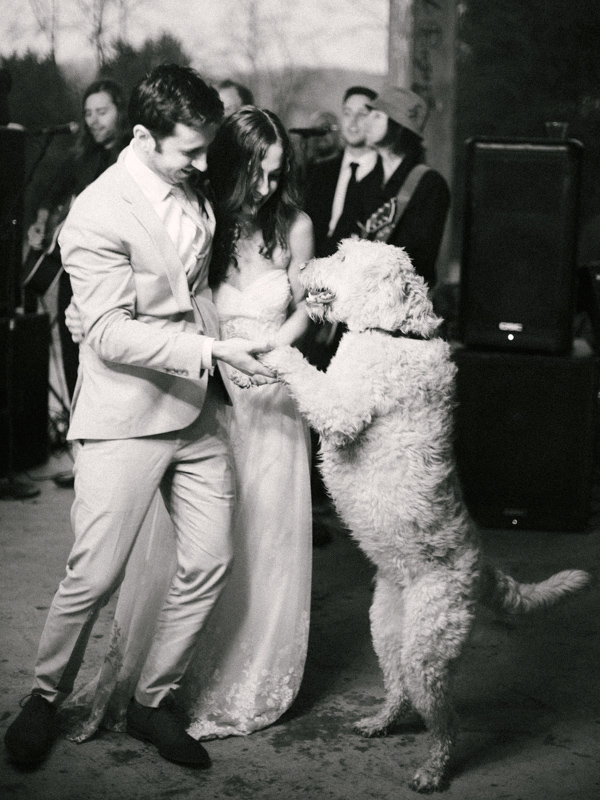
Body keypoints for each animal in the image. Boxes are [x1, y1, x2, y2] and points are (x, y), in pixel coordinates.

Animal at [262, 238, 592, 792]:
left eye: (345, 256)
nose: (302, 266)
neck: (397, 334)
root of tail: (481, 566)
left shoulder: (341, 412)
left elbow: (309, 378)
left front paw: (272, 348)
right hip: (388, 630)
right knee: (399, 691)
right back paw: (381, 720)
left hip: (430, 651)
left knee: (444, 722)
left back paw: (432, 772)